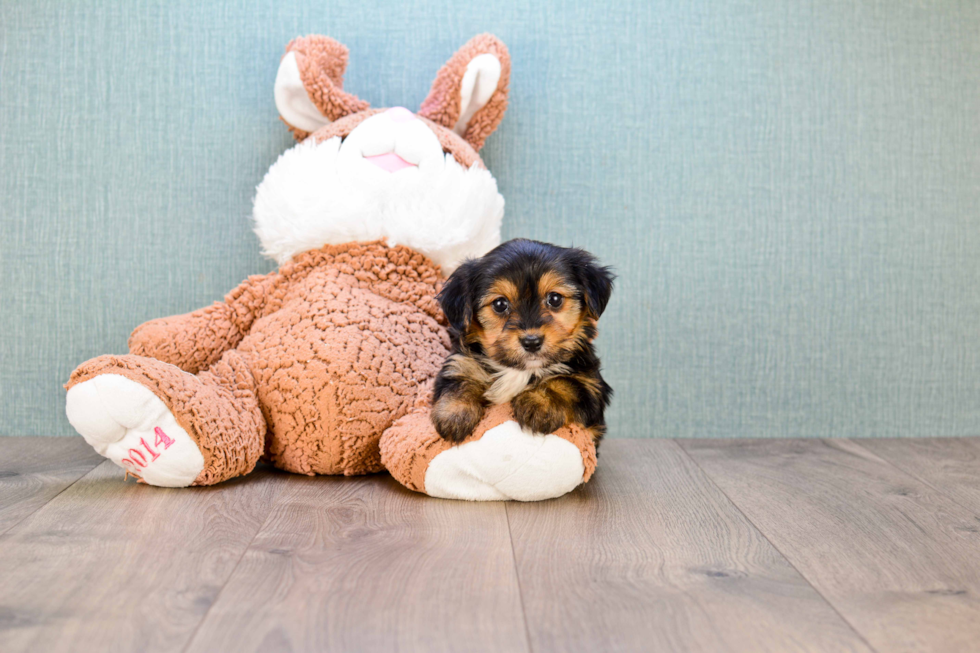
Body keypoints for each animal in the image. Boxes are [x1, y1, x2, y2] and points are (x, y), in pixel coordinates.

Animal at [430, 238, 612, 444]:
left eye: (555, 299)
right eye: (500, 304)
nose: (531, 342)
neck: (519, 370)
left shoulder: (592, 385)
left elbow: (566, 384)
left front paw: (539, 404)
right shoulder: (459, 361)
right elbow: (459, 381)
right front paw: (454, 414)